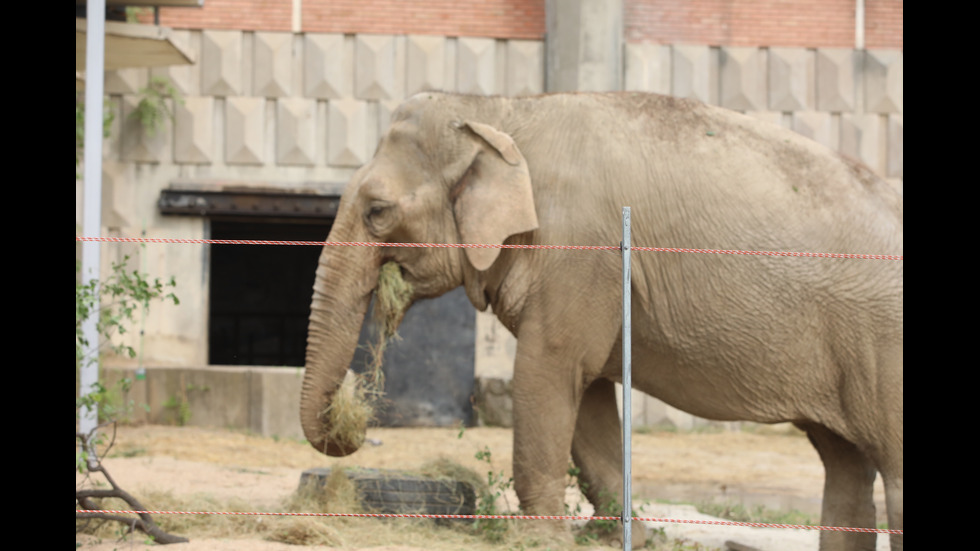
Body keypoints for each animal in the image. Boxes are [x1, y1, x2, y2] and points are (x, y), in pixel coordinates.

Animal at [300, 91, 904, 551]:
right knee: (844, 463)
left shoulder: (580, 250)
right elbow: (585, 396)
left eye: (378, 211)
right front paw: (616, 537)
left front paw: (540, 540)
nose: (357, 419)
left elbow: (549, 373)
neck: (500, 111)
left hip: (885, 344)